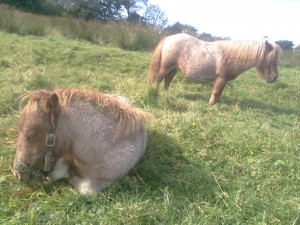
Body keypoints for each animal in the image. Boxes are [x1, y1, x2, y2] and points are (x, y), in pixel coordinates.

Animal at [13, 89, 151, 194]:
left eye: (31, 135)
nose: (17, 173)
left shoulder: (105, 182)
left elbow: (86, 189)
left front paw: (71, 176)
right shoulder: (64, 156)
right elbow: (56, 174)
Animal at [148, 33, 282, 105]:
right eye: (271, 60)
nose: (274, 78)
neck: (231, 56)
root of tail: (168, 38)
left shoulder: (224, 80)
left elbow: (219, 93)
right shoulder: (221, 78)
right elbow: (216, 92)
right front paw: (211, 104)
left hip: (173, 69)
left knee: (167, 81)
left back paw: (166, 94)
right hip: (165, 68)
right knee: (158, 80)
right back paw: (155, 93)